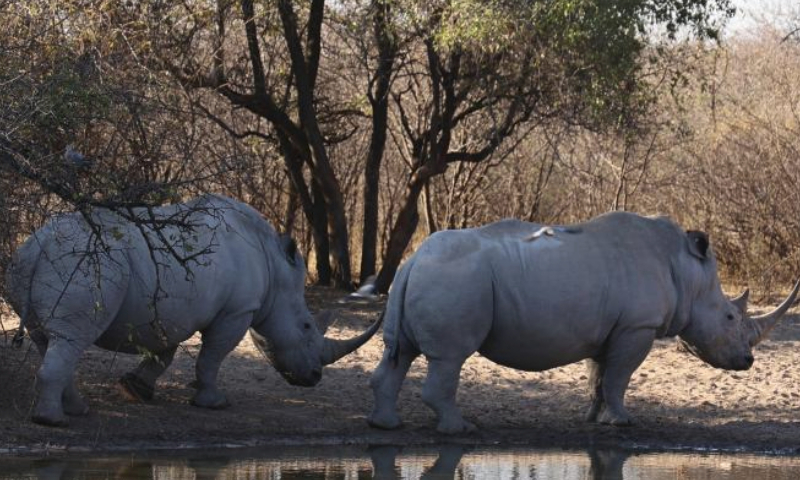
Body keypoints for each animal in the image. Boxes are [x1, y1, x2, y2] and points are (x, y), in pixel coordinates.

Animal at [4, 193, 382, 426]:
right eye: (306, 327)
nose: (314, 378)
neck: (275, 271)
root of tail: (38, 246)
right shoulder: (237, 311)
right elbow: (211, 357)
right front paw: (214, 403)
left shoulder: (169, 308)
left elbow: (164, 352)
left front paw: (135, 388)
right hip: (85, 267)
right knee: (71, 339)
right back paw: (53, 421)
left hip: (39, 265)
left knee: (50, 339)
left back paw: (76, 410)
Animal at [368, 212, 800, 434]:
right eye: (729, 317)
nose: (748, 361)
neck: (687, 272)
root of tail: (413, 260)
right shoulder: (637, 327)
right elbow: (619, 377)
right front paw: (623, 421)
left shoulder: (612, 328)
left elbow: (600, 376)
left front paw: (594, 419)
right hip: (454, 279)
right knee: (450, 357)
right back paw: (461, 429)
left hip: (427, 276)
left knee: (399, 353)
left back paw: (385, 426)